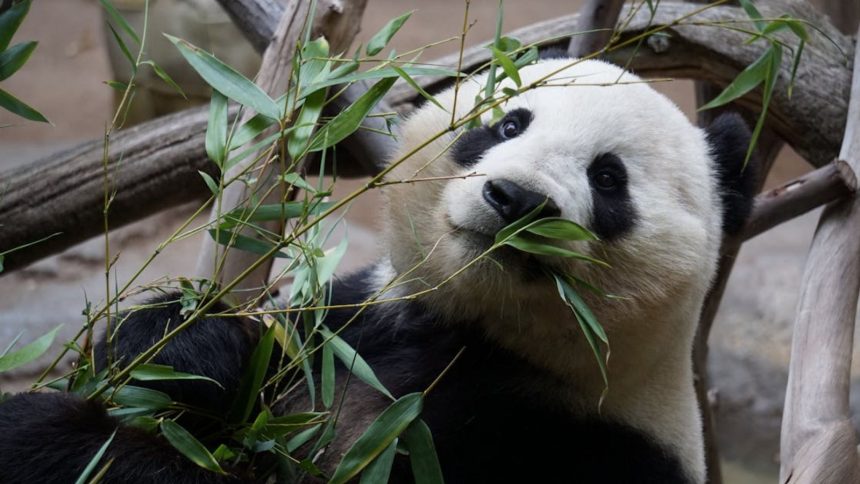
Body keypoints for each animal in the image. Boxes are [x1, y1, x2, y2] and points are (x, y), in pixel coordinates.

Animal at [0, 56, 756, 484]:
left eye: (608, 178)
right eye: (509, 123)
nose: (515, 199)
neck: (480, 338)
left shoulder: (579, 444)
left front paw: (56, 442)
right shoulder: (355, 324)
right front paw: (185, 347)